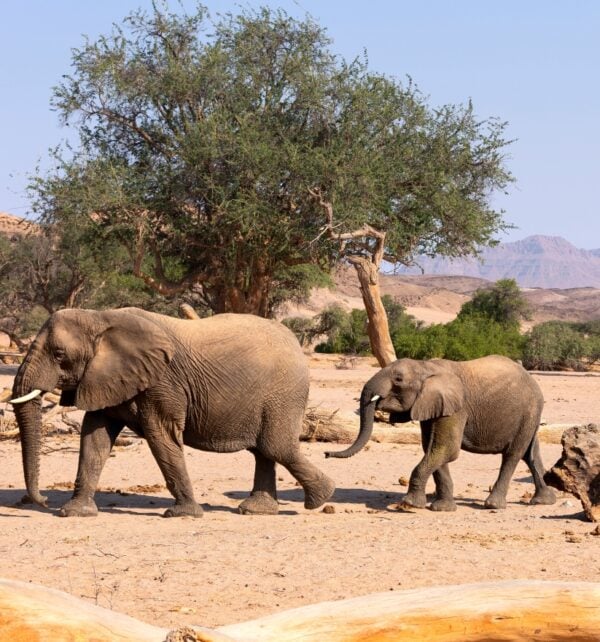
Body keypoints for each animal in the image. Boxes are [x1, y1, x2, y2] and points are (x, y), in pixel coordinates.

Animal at [9, 304, 336, 516]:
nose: (43, 501)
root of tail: (296, 344)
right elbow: (94, 437)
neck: (100, 318)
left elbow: (161, 435)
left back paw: (320, 498)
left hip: (284, 393)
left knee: (275, 446)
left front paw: (184, 514)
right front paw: (75, 512)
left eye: (59, 355)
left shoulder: (163, 382)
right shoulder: (106, 378)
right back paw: (257, 511)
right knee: (263, 450)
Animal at [326, 356, 556, 510]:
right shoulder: (431, 405)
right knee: (530, 453)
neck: (426, 366)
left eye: (398, 379)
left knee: (513, 455)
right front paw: (442, 508)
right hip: (530, 415)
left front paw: (409, 504)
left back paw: (493, 505)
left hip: (530, 410)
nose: (326, 453)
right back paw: (543, 501)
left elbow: (446, 449)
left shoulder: (456, 408)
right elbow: (432, 448)